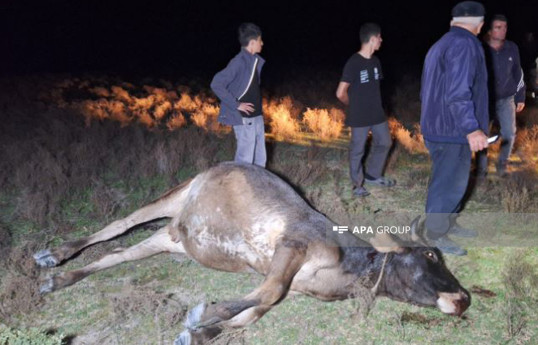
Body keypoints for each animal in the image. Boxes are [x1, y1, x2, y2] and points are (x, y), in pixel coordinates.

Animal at [34, 162, 468, 344]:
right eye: (430, 256)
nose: (463, 298)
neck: (349, 270)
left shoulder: (287, 280)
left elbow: (254, 311)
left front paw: (202, 332)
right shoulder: (291, 247)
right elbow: (266, 294)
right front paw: (202, 314)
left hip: (166, 239)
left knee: (116, 256)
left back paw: (59, 279)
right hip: (173, 196)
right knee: (117, 226)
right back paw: (54, 256)